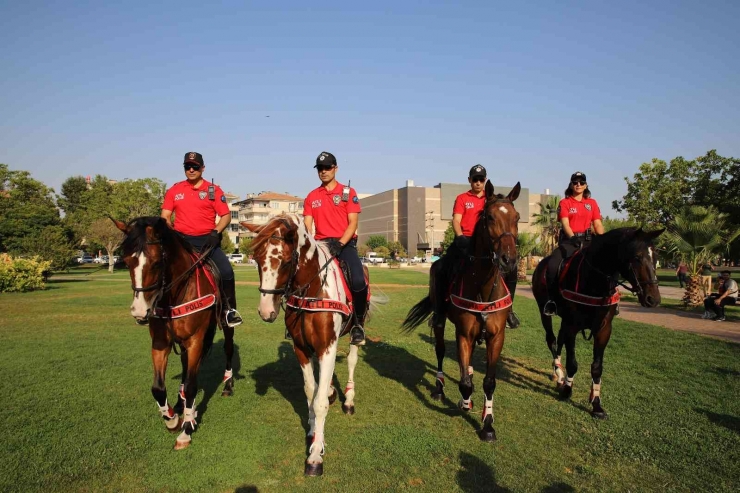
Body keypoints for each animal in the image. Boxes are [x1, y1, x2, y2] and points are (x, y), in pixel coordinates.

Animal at [112, 217, 237, 448]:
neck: (174, 294)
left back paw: (227, 385)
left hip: (225, 325)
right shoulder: (161, 342)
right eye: (126, 261)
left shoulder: (195, 340)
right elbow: (158, 388)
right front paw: (172, 419)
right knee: (186, 366)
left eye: (156, 263)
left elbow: (191, 385)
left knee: (228, 349)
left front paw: (186, 430)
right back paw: (181, 403)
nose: (140, 312)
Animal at [243, 213, 378, 474]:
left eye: (285, 262)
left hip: (355, 331)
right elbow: (310, 391)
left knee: (352, 360)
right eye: (256, 259)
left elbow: (319, 403)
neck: (312, 290)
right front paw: (314, 431)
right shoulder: (302, 348)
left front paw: (315, 455)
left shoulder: (327, 346)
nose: (266, 311)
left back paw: (348, 399)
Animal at [404, 182, 520, 442]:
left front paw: (488, 424)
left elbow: (489, 382)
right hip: (441, 323)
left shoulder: (496, 337)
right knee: (440, 351)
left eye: (517, 217)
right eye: (489, 217)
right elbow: (465, 384)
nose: (509, 260)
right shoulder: (463, 334)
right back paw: (439, 388)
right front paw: (465, 402)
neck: (483, 288)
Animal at [532, 228, 664, 418]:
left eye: (656, 257)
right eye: (637, 257)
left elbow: (597, 367)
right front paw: (567, 390)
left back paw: (558, 375)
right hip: (545, 312)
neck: (594, 280)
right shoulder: (572, 326)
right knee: (552, 340)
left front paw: (596, 403)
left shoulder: (604, 329)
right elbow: (572, 363)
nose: (653, 299)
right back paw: (559, 373)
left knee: (559, 340)